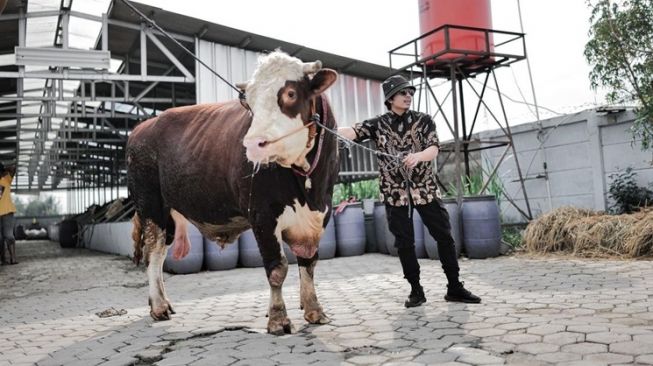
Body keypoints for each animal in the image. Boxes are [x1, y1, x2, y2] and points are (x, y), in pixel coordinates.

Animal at [129, 51, 342, 334]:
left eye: (290, 93)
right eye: (249, 102)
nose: (253, 144)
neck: (308, 184)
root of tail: (142, 128)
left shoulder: (320, 214)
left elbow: (309, 263)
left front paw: (314, 310)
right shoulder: (262, 215)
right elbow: (277, 268)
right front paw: (278, 319)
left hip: (169, 213)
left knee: (162, 252)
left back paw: (165, 303)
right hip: (150, 205)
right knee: (153, 253)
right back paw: (158, 307)